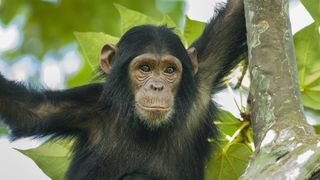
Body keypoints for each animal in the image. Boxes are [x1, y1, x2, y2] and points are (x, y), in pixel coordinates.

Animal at [0, 0, 248, 179]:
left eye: (169, 70)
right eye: (145, 68)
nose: (157, 86)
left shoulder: (203, 76)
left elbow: (234, 18)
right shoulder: (86, 106)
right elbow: (28, 110)